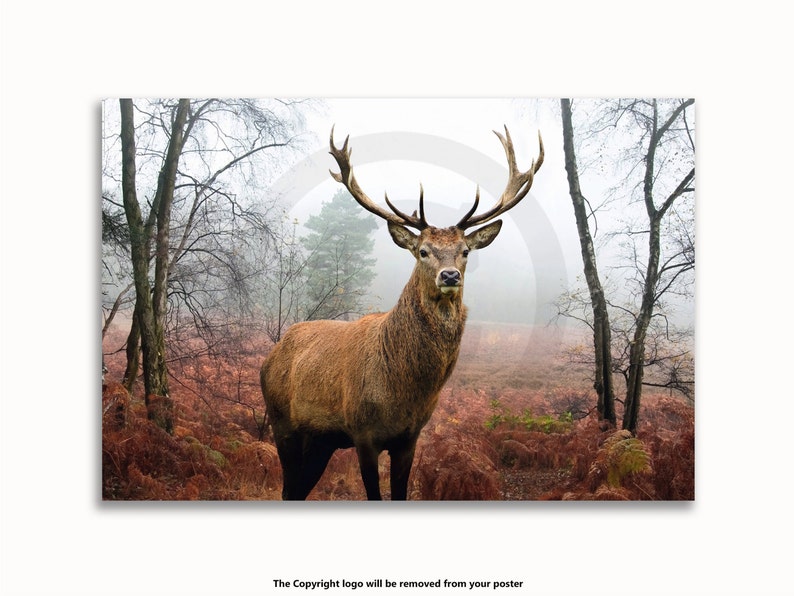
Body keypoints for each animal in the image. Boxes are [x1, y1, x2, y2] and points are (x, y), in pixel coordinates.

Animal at [260, 126, 543, 500]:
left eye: (465, 251)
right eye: (423, 251)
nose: (449, 275)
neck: (402, 391)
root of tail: (270, 356)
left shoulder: (409, 437)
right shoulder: (363, 433)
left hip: (321, 441)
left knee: (298, 490)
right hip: (283, 423)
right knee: (288, 486)